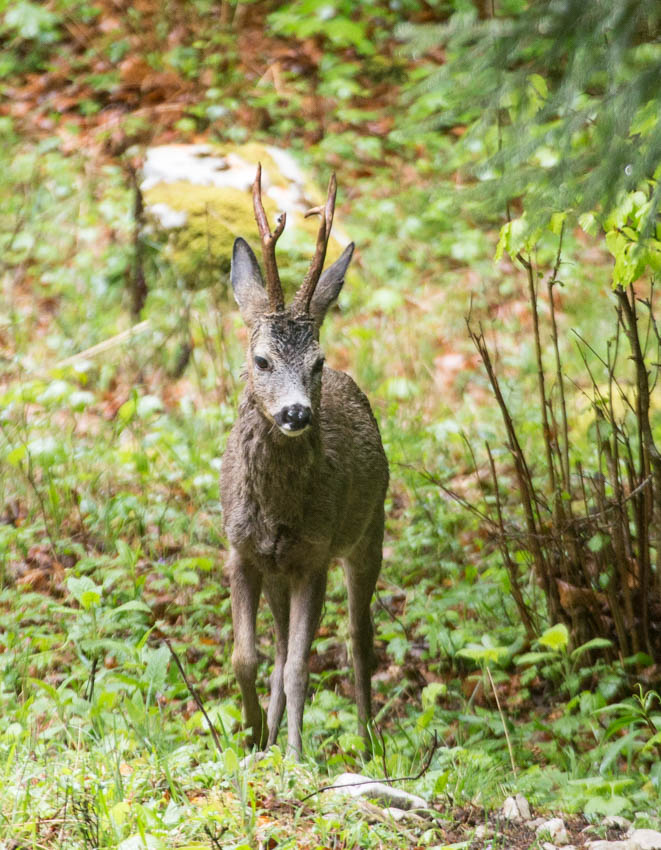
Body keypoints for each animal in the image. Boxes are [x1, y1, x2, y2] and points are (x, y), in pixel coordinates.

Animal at [219, 166, 390, 756]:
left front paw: (293, 757)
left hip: (369, 530)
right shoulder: (243, 552)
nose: (296, 412)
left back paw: (367, 740)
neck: (276, 513)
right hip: (280, 572)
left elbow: (300, 667)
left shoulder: (314, 557)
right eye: (261, 359)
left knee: (360, 637)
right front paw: (252, 740)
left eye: (316, 360)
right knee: (275, 650)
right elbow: (246, 657)